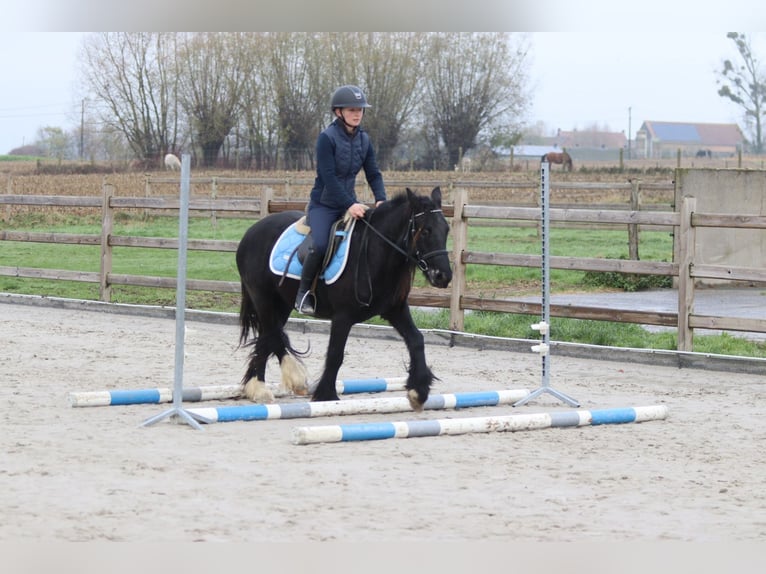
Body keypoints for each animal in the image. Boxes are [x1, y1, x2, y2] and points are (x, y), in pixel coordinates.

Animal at [235, 187, 453, 411]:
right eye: (426, 231)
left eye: (446, 230)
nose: (443, 276)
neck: (374, 252)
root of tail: (251, 231)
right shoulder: (342, 317)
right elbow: (335, 354)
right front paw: (326, 395)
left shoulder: (395, 310)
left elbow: (417, 340)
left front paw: (418, 391)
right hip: (263, 299)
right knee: (272, 334)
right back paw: (289, 380)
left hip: (282, 304)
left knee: (267, 337)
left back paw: (258, 388)